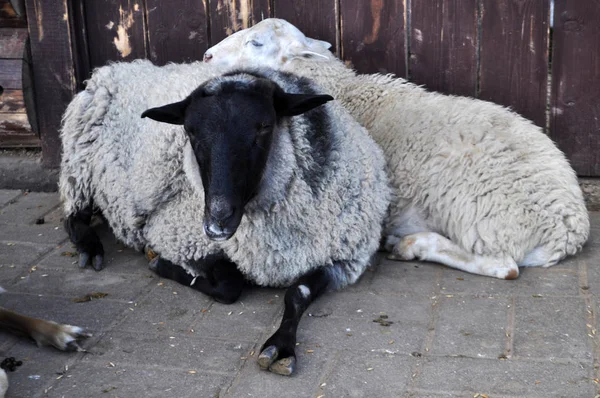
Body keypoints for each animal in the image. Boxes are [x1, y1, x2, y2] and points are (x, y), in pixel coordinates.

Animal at [59, 63, 390, 374]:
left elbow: (298, 292)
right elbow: (229, 287)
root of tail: (112, 69)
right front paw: (162, 265)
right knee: (72, 216)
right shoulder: (181, 238)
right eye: (190, 131)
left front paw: (281, 347)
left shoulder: (343, 260)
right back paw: (90, 248)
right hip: (79, 168)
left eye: (264, 126)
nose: (218, 218)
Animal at [204, 17, 588, 280]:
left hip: (485, 217)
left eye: (256, 43)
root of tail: (568, 228)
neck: (345, 91)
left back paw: (410, 246)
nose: (206, 55)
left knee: (504, 266)